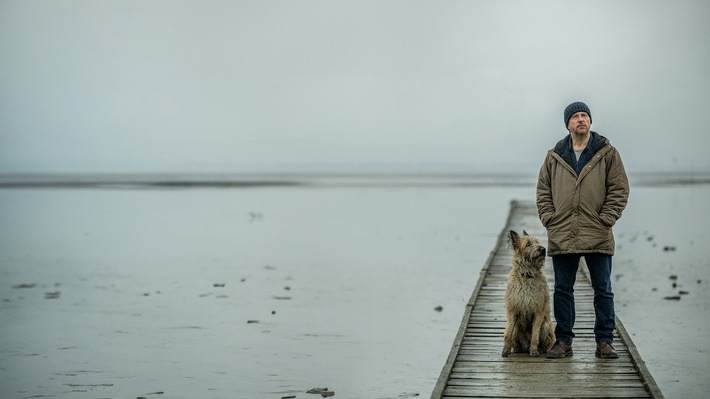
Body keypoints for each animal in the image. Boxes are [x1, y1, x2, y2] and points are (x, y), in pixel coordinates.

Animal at [504, 230, 560, 358]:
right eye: (528, 244)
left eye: (537, 242)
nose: (543, 249)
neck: (527, 275)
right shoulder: (513, 309)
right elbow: (508, 332)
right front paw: (505, 349)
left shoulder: (538, 310)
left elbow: (535, 334)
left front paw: (534, 350)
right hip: (517, 328)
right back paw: (517, 348)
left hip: (546, 325)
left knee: (545, 342)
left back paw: (541, 349)